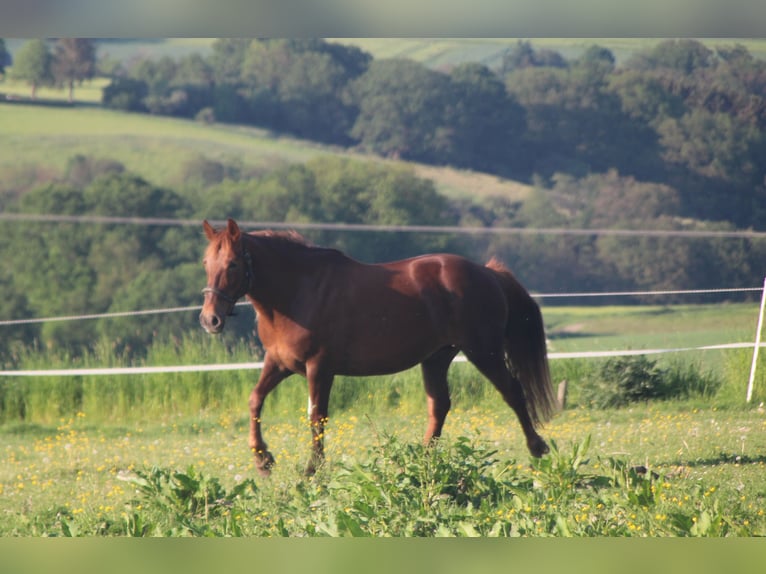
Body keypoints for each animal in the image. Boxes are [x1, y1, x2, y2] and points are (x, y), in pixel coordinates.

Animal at [201, 219, 556, 476]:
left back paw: (537, 447)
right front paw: (263, 459)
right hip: (436, 358)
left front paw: (313, 470)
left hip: (484, 351)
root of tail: (488, 273)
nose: (210, 319)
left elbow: (317, 417)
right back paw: (420, 461)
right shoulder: (279, 363)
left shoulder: (320, 367)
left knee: (513, 391)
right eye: (206, 262)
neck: (299, 290)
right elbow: (255, 400)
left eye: (233, 264)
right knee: (439, 406)